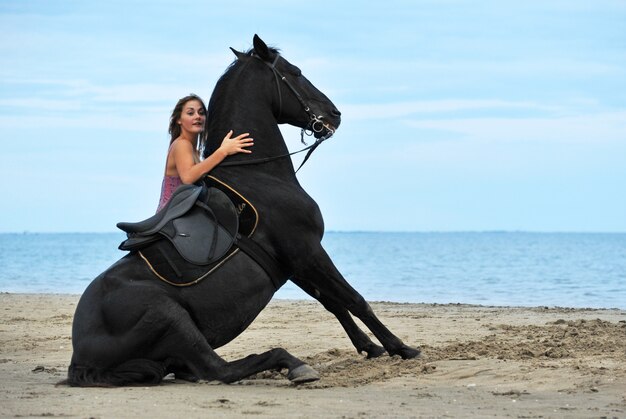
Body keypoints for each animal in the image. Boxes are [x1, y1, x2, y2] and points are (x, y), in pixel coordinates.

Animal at [67, 35, 420, 388]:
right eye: (295, 72)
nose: (334, 114)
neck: (258, 174)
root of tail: (80, 359)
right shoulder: (307, 250)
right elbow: (354, 299)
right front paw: (401, 348)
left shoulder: (295, 263)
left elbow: (333, 301)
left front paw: (370, 347)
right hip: (171, 316)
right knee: (219, 370)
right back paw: (292, 364)